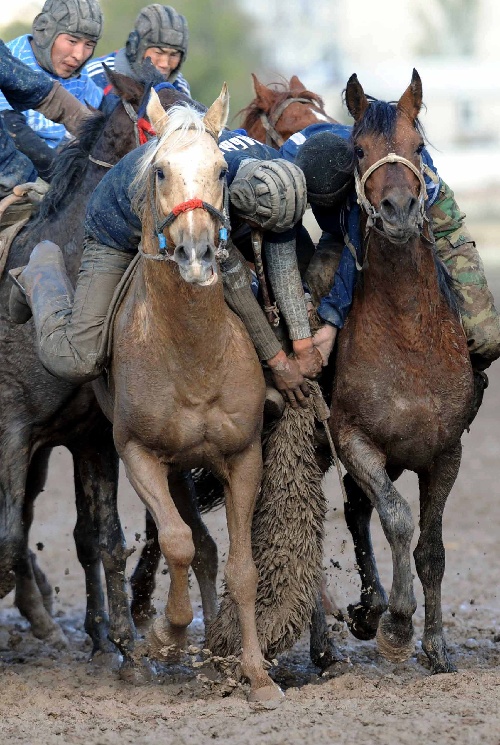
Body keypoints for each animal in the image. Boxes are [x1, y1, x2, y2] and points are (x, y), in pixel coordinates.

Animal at [92, 88, 284, 704]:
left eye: (223, 169)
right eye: (159, 171)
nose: (197, 254)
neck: (193, 356)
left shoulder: (244, 456)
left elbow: (243, 569)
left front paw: (256, 673)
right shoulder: (137, 453)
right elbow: (176, 543)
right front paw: (163, 637)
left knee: (207, 549)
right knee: (186, 542)